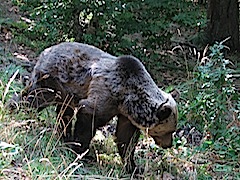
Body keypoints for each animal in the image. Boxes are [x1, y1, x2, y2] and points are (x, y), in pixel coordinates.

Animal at [12, 42, 179, 173]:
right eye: (169, 131)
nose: (168, 144)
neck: (127, 98)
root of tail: (46, 50)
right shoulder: (104, 94)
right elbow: (88, 118)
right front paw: (81, 152)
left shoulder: (126, 115)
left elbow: (126, 138)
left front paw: (133, 166)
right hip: (52, 79)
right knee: (34, 98)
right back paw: (15, 110)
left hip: (66, 92)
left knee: (63, 112)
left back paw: (63, 136)